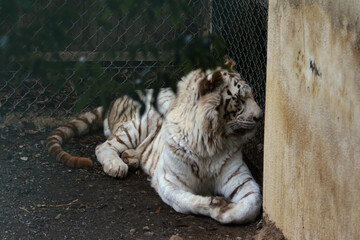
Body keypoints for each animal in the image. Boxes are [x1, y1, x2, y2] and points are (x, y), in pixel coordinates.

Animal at [46, 59, 262, 223]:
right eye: (239, 100)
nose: (260, 116)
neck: (211, 141)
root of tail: (117, 99)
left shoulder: (240, 178)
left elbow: (252, 204)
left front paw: (226, 211)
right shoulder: (169, 181)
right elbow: (185, 202)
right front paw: (216, 204)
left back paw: (130, 158)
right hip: (137, 125)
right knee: (103, 146)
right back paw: (117, 165)